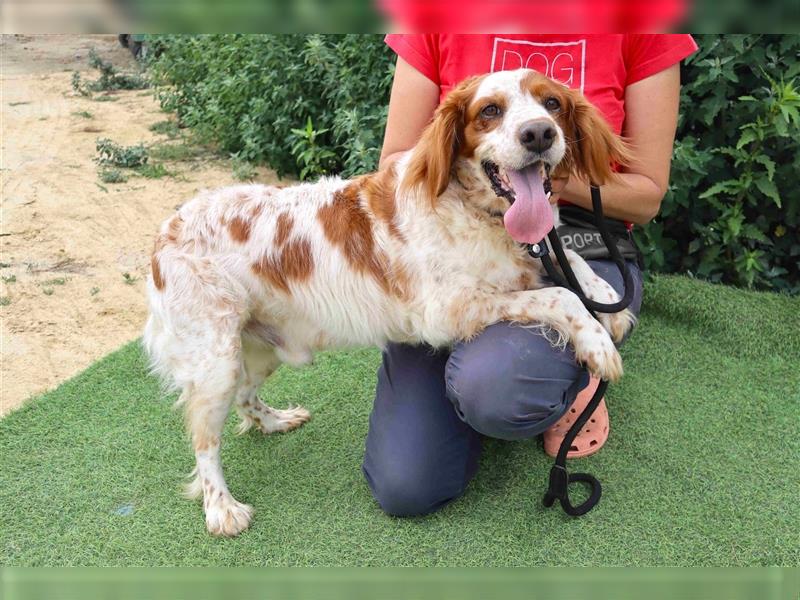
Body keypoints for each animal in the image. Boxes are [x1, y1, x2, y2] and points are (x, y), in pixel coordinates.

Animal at [142, 68, 632, 536]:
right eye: (490, 110)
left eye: (552, 103)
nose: (539, 134)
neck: (473, 210)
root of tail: (164, 233)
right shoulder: (448, 308)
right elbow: (558, 294)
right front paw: (597, 342)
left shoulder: (521, 263)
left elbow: (565, 257)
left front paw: (607, 297)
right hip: (216, 361)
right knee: (205, 441)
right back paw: (221, 509)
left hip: (262, 346)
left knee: (246, 397)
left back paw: (276, 421)